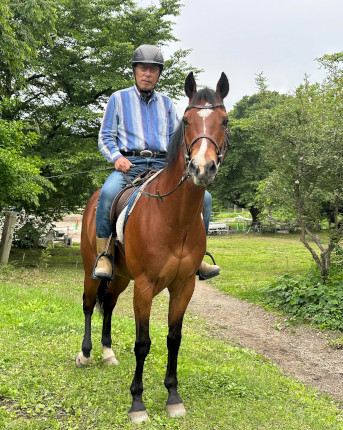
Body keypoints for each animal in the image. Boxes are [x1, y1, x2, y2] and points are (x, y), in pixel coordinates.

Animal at [76, 71, 230, 424]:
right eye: (186, 121)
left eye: (225, 121)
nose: (202, 168)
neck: (173, 217)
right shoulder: (144, 287)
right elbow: (142, 343)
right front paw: (137, 402)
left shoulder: (184, 285)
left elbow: (174, 339)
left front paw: (173, 397)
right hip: (93, 270)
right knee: (90, 305)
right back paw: (86, 354)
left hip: (121, 277)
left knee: (109, 305)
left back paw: (107, 353)